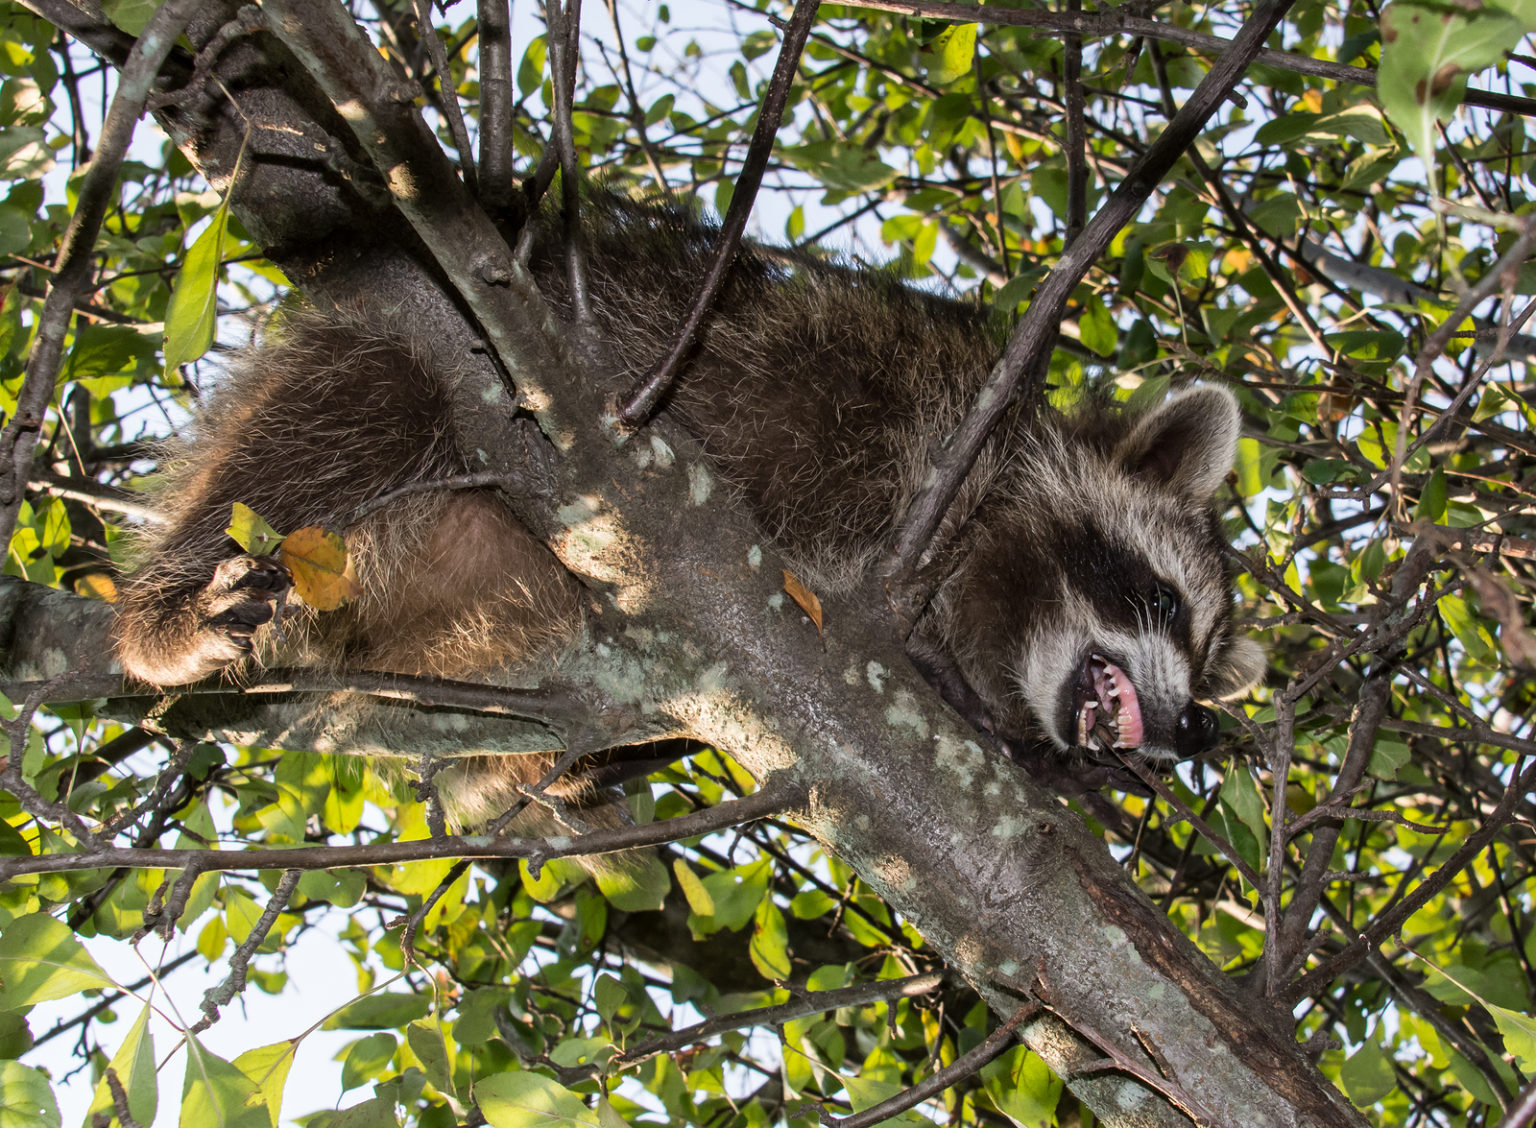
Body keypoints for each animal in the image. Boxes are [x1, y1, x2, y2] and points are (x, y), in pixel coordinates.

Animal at [112, 199, 1264, 818]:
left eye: (1210, 669)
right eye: (1167, 602)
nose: (1189, 728)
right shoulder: (882, 399)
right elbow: (818, 491)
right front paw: (914, 647)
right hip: (397, 379)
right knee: (318, 444)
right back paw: (165, 607)